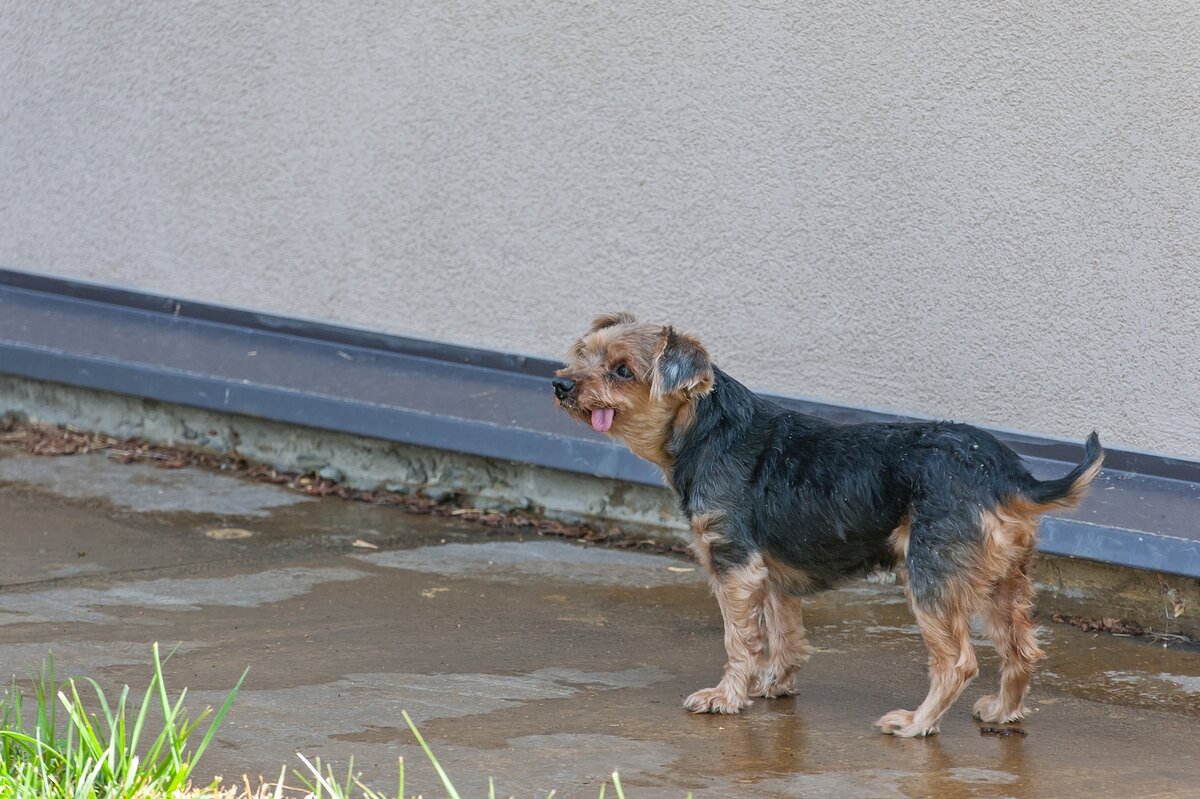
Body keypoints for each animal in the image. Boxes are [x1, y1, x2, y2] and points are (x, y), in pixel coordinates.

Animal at [549, 311, 1099, 734]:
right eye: (582, 353)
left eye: (622, 370)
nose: (559, 382)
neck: (706, 430)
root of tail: (1005, 475)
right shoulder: (770, 575)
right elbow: (783, 634)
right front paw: (775, 685)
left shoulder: (734, 565)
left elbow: (739, 640)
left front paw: (726, 697)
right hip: (1003, 578)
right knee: (1021, 648)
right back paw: (1004, 711)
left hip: (931, 575)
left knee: (957, 663)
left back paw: (917, 723)